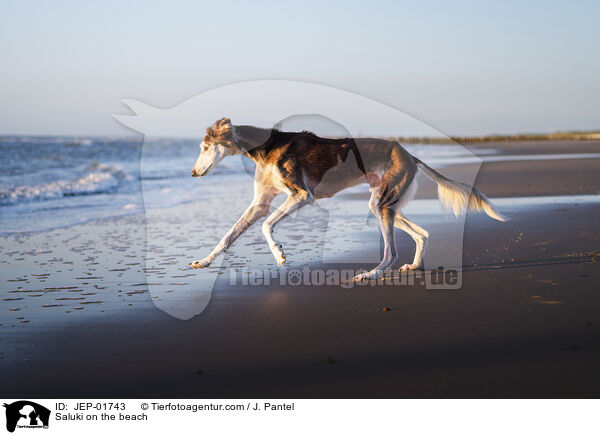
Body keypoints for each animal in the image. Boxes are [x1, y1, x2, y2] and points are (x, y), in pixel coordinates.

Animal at [191, 117, 502, 282]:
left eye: (205, 147)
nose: (193, 173)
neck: (266, 148)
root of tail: (408, 154)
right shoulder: (261, 203)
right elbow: (228, 236)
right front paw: (204, 261)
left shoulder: (302, 194)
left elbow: (267, 225)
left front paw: (279, 254)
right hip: (383, 203)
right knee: (422, 234)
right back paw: (413, 266)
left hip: (383, 204)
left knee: (391, 252)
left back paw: (370, 275)